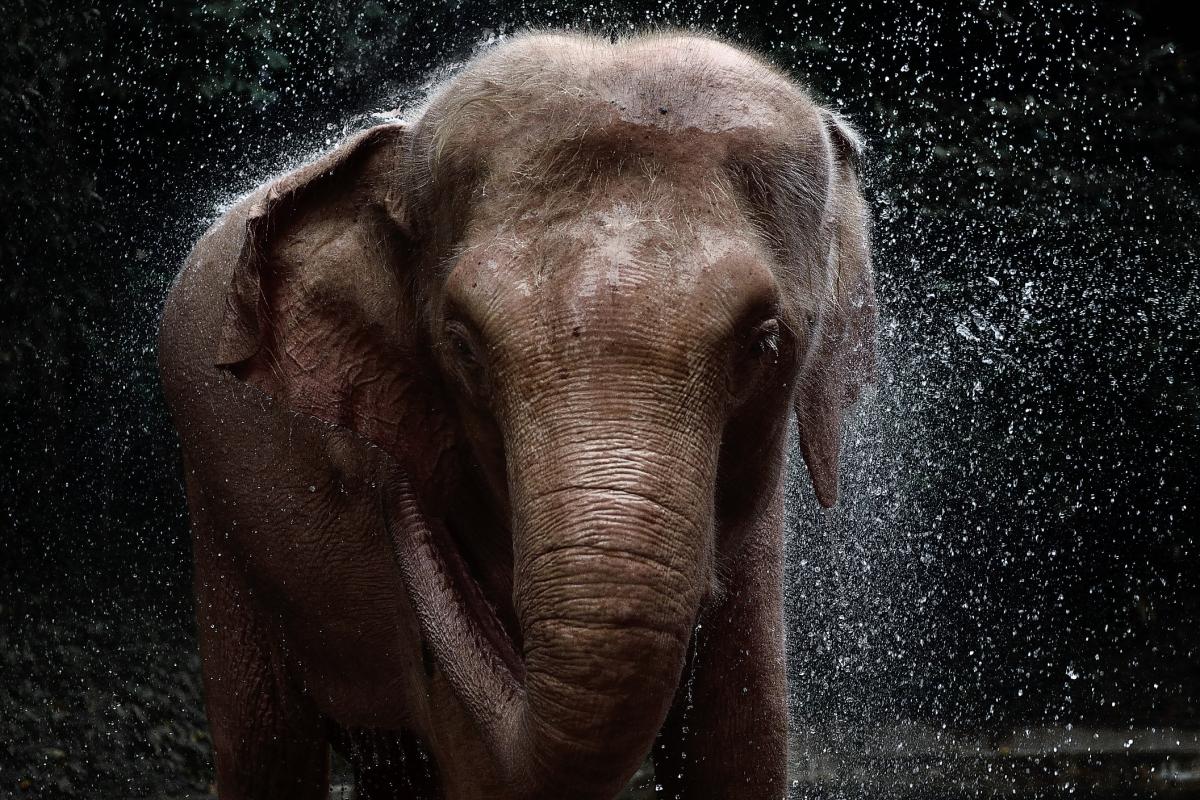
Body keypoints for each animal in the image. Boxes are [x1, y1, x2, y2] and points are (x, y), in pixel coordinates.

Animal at [158, 30, 875, 800]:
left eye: (763, 343)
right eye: (463, 348)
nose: (388, 481)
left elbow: (740, 745)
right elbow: (481, 765)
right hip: (219, 514)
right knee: (265, 740)